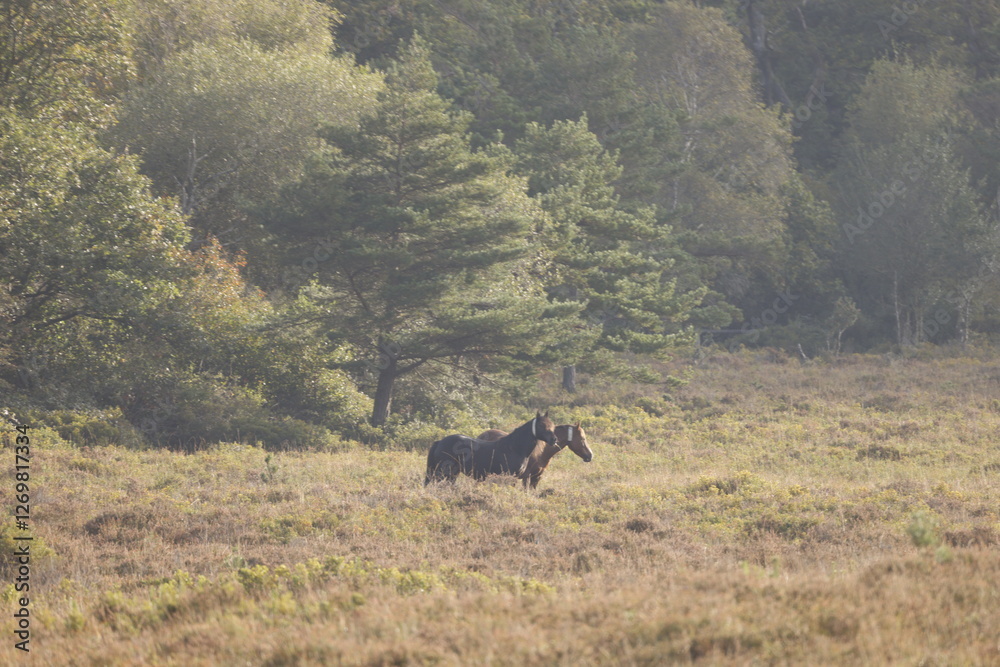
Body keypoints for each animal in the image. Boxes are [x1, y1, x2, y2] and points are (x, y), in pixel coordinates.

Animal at [424, 412, 556, 485]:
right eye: (541, 425)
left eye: (552, 425)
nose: (554, 439)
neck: (514, 448)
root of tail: (440, 442)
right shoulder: (509, 476)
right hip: (444, 473)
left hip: (452, 474)